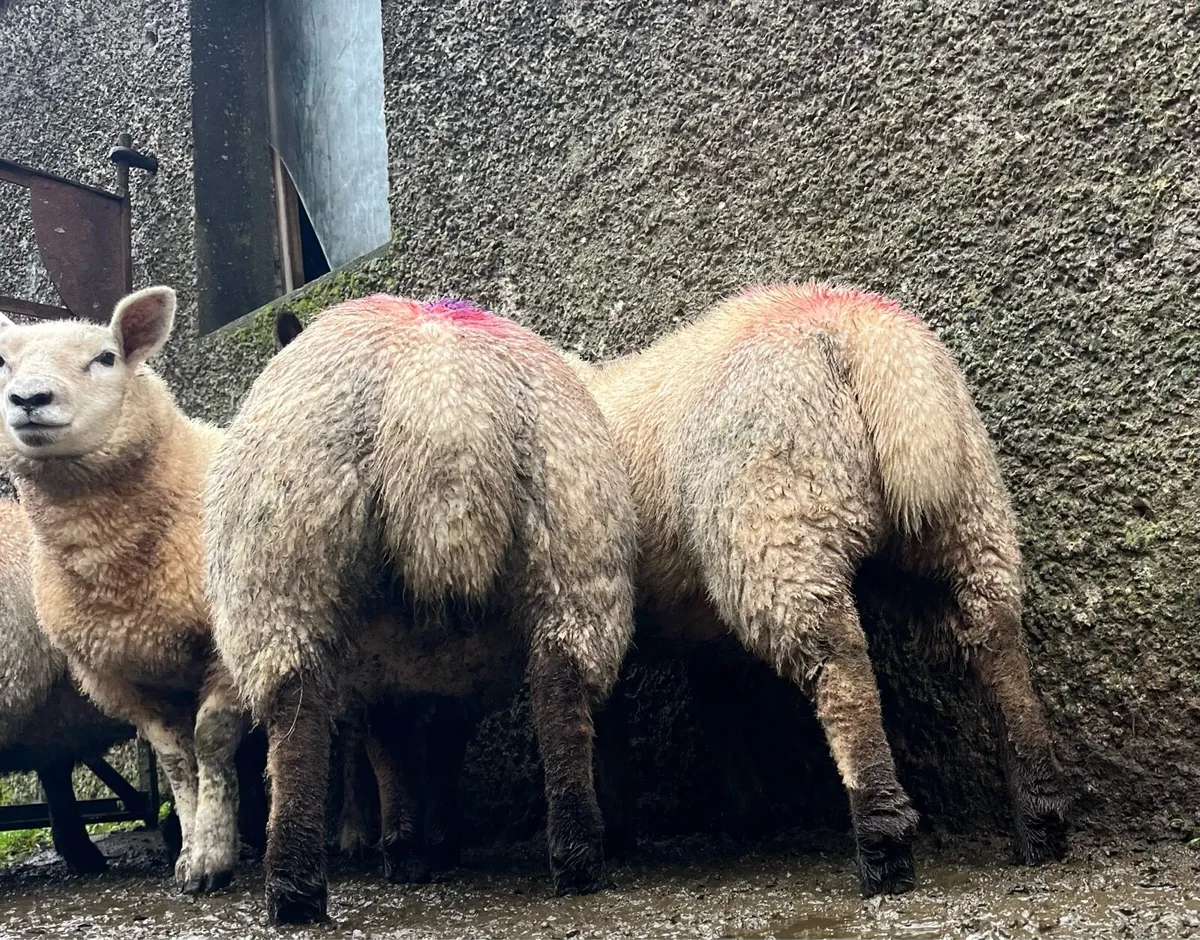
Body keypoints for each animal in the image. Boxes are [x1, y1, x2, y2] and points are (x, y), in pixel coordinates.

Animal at [205, 294, 637, 925]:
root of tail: (442, 397)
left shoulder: (384, 670)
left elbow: (396, 752)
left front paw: (411, 847)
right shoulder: (440, 670)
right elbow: (434, 750)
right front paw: (435, 843)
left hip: (284, 569)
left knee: (296, 727)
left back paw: (297, 889)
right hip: (574, 544)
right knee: (563, 698)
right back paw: (579, 858)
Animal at [565, 282, 1068, 895]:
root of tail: (865, 333)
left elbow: (611, 725)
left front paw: (617, 832)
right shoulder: (701, 630)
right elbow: (716, 705)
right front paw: (749, 813)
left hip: (780, 526)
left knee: (842, 670)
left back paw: (883, 844)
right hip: (967, 519)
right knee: (997, 646)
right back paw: (1041, 821)